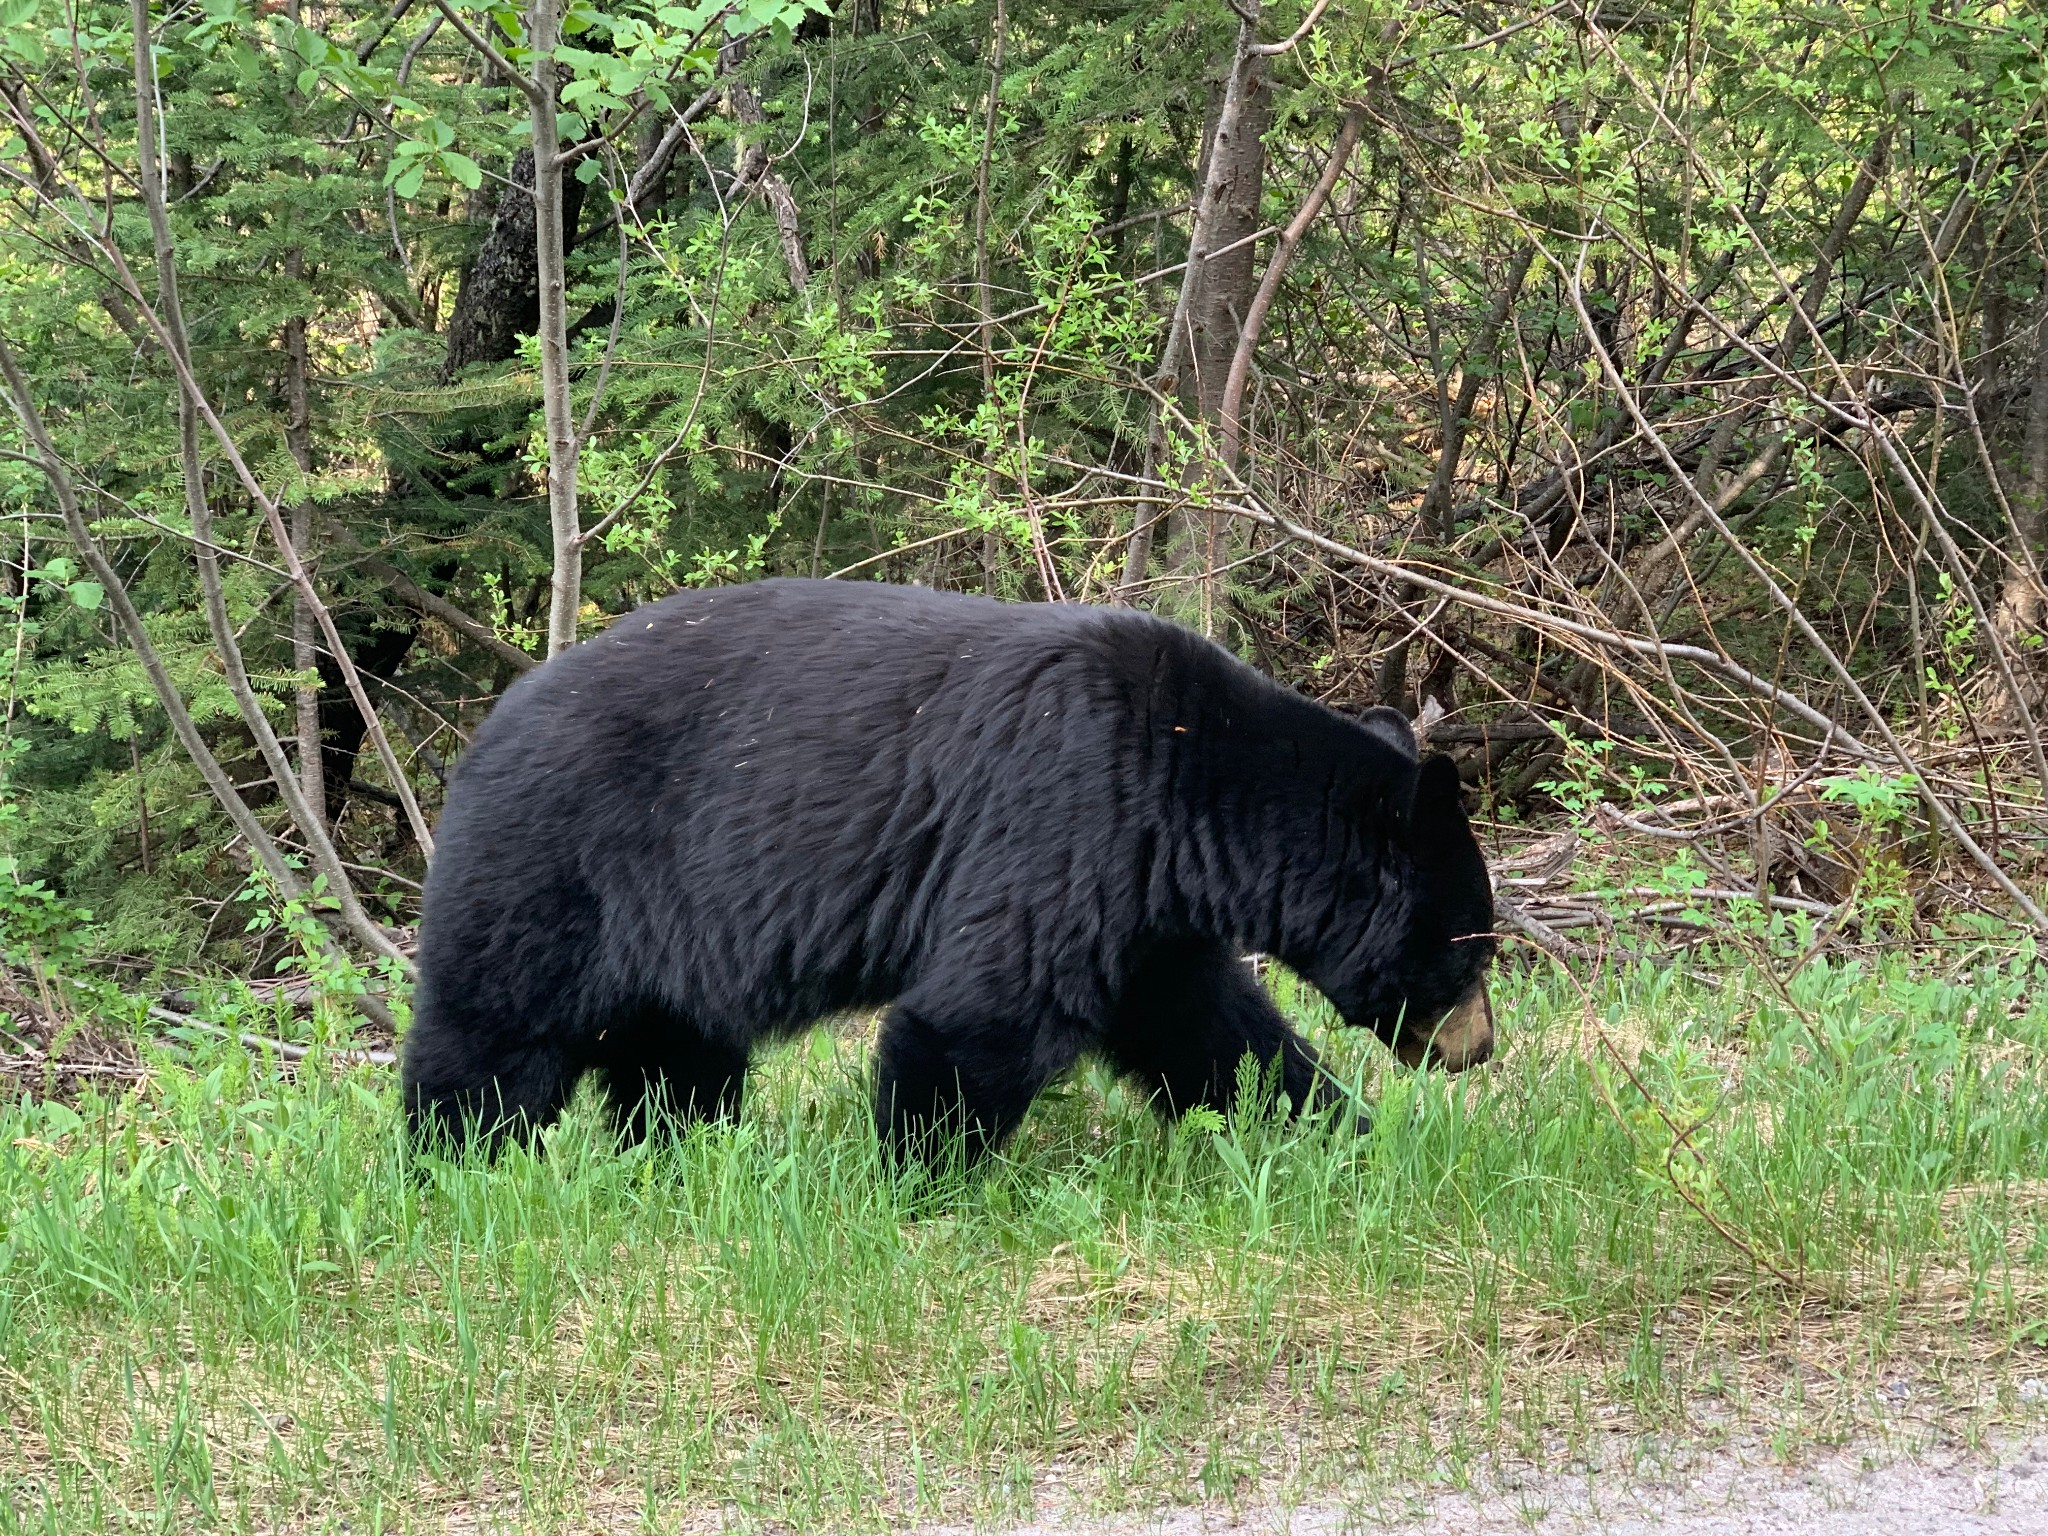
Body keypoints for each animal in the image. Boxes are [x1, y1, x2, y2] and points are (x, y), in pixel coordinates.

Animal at [403, 577, 1490, 1163]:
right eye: (1469, 949)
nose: (1477, 1051)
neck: (1187, 781)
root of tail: (480, 733)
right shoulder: (1064, 823)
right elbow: (978, 1018)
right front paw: (917, 1180)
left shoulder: (1144, 910)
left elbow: (1207, 1029)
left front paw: (1339, 1134)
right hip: (560, 870)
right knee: (495, 1036)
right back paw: (454, 1166)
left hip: (670, 936)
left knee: (675, 1057)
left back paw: (684, 1157)